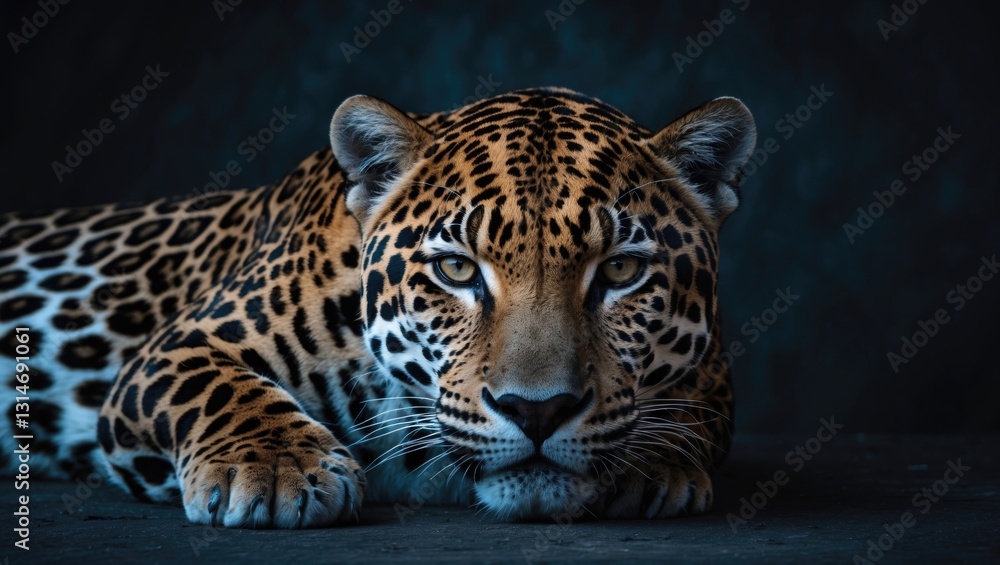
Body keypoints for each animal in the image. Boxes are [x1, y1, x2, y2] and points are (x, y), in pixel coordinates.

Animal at [0, 87, 755, 528]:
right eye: (456, 268)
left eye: (621, 270)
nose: (536, 410)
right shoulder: (177, 346)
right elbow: (217, 386)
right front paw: (275, 466)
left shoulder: (716, 370)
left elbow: (693, 409)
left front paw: (653, 462)